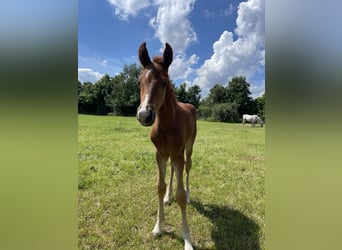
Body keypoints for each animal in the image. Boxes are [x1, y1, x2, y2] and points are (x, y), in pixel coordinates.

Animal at [136, 42, 196, 249]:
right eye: (139, 82)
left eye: (164, 82)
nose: (145, 115)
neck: (168, 123)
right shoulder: (160, 153)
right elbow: (160, 187)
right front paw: (158, 227)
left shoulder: (178, 154)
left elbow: (180, 196)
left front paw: (187, 239)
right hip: (171, 154)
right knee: (171, 171)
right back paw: (169, 197)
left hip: (188, 149)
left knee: (187, 169)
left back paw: (189, 194)